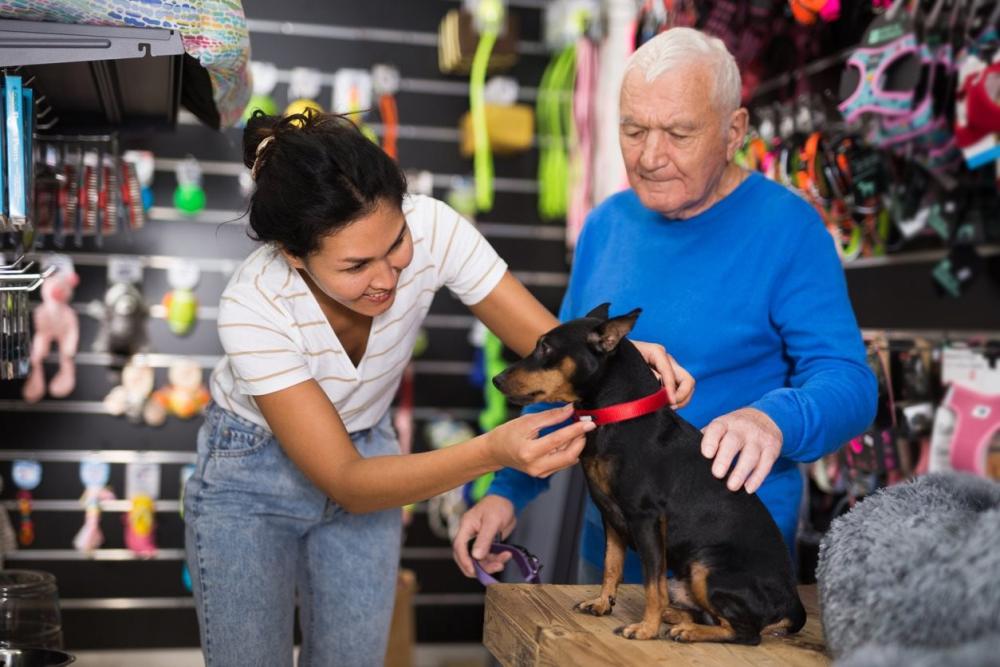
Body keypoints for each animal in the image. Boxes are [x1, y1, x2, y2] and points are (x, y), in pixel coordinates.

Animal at [492, 306, 804, 644]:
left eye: (546, 347)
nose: (496, 379)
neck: (619, 417)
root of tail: (793, 604)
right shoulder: (611, 517)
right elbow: (611, 566)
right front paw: (602, 603)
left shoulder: (646, 519)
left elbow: (651, 583)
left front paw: (645, 629)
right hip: (685, 578)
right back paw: (676, 616)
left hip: (705, 567)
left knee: (745, 632)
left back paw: (688, 630)